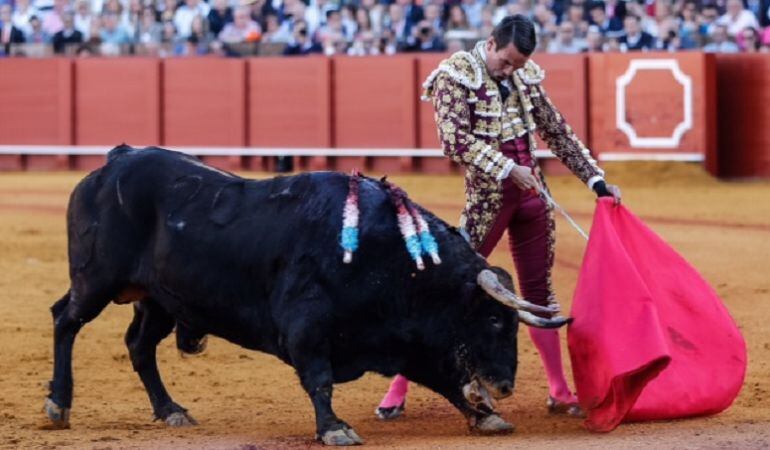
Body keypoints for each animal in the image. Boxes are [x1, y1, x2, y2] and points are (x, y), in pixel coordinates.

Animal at [45, 146, 568, 444]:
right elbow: (319, 380)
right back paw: (58, 405)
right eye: (495, 320)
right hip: (96, 280)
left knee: (139, 345)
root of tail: (116, 161)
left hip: (161, 299)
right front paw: (334, 428)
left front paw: (485, 416)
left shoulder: (410, 340)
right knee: (65, 320)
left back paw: (170, 411)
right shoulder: (308, 329)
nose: (505, 385)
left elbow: (446, 380)